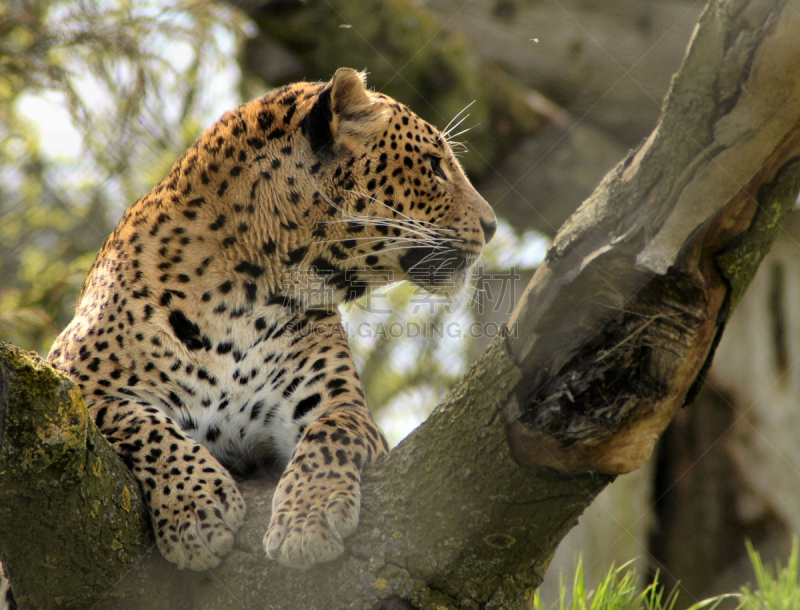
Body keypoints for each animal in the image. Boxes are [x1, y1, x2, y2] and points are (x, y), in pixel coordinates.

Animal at [1, 66, 494, 592]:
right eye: (435, 167)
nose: (492, 225)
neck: (247, 294)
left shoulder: (345, 410)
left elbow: (332, 431)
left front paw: (308, 518)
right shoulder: (71, 384)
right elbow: (137, 421)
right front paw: (196, 508)